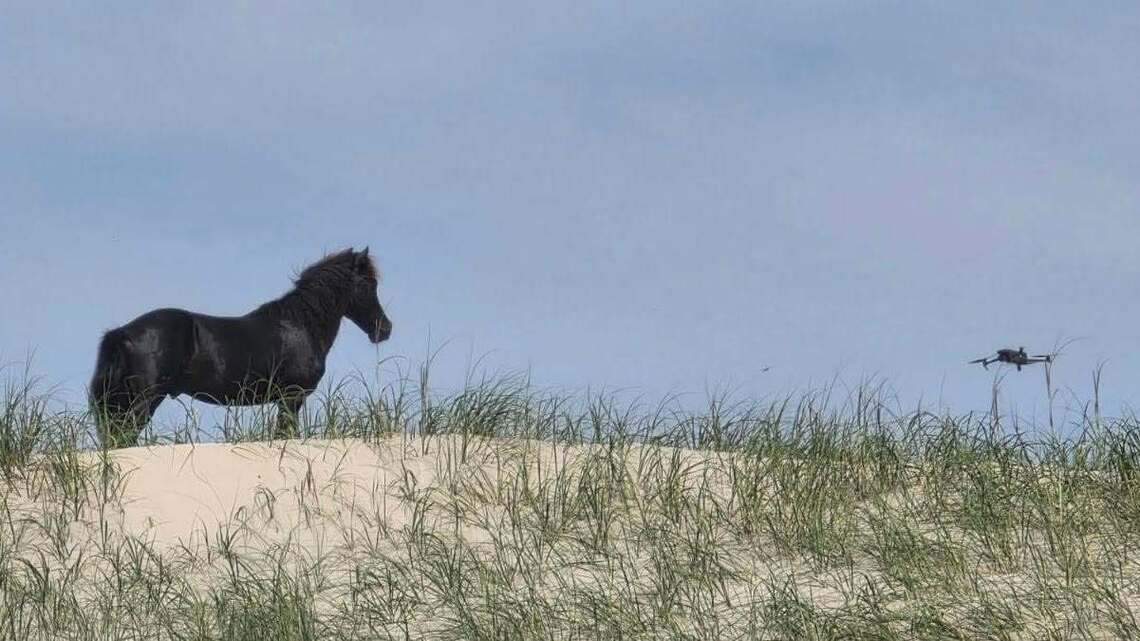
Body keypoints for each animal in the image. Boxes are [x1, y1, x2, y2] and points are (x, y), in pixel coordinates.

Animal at [88, 247, 392, 448]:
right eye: (368, 283)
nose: (384, 329)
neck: (301, 325)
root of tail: (123, 332)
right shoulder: (291, 398)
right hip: (143, 401)